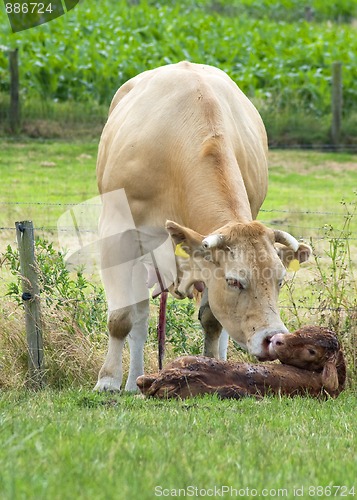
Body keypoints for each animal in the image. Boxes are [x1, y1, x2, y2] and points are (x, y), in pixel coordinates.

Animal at [94, 61, 308, 390]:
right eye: (234, 281)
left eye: (280, 281)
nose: (273, 339)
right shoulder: (117, 238)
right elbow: (120, 318)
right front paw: (107, 381)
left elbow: (212, 322)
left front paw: (213, 368)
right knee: (139, 320)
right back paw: (131, 382)